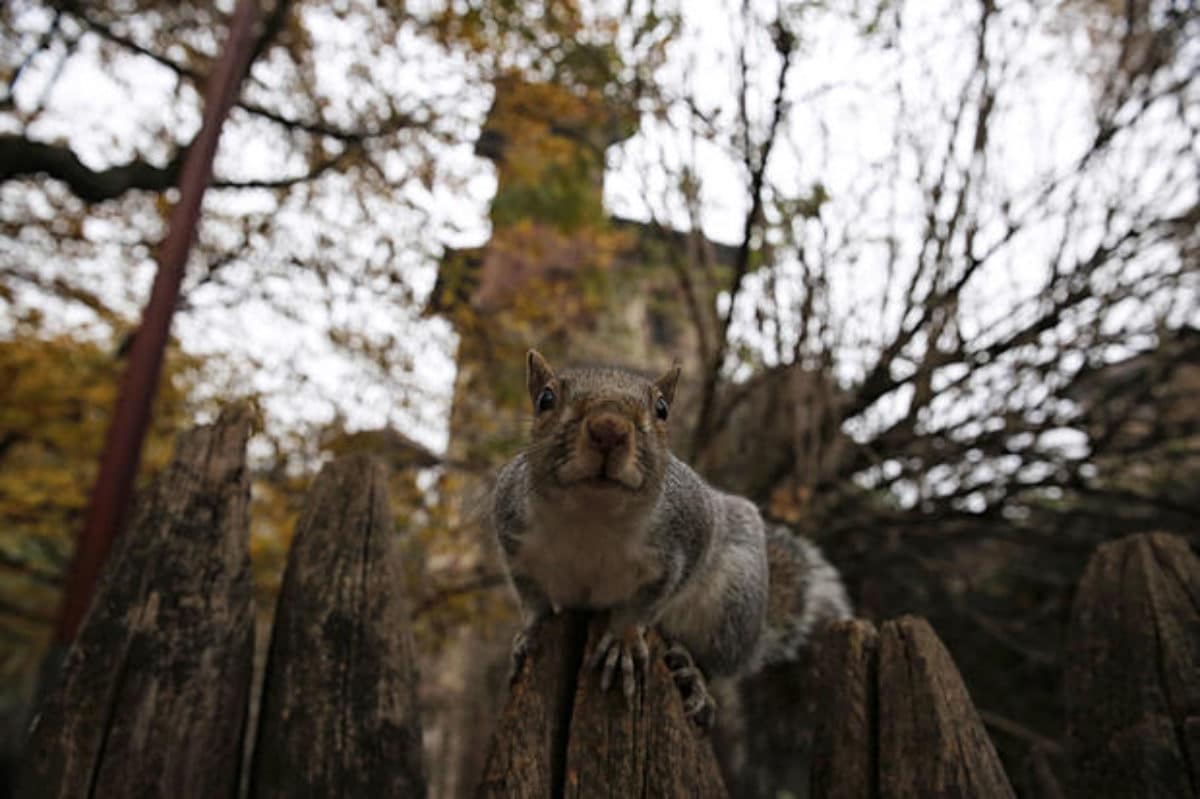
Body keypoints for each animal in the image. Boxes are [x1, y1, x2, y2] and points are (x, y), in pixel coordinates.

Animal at [489, 345, 854, 724]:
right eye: (545, 399)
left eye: (662, 409)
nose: (609, 428)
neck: (593, 517)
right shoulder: (514, 541)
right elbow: (533, 599)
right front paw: (528, 635)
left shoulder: (683, 545)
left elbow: (647, 601)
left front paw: (623, 639)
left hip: (733, 605)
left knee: (716, 663)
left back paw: (696, 678)